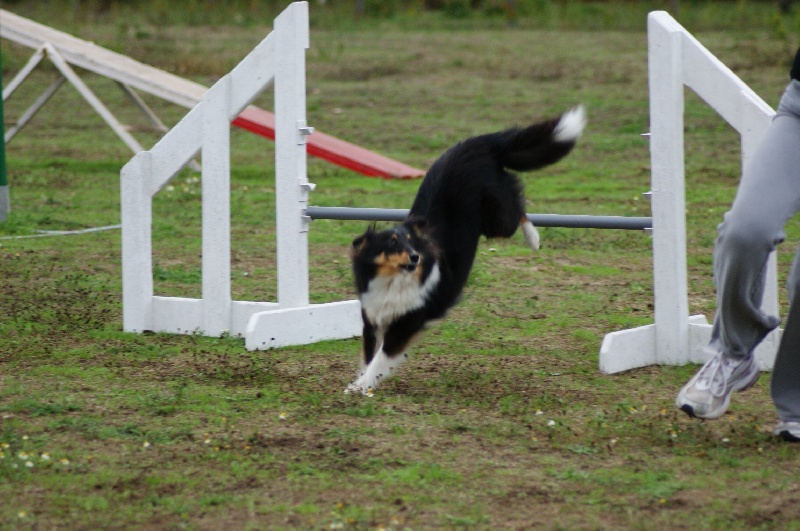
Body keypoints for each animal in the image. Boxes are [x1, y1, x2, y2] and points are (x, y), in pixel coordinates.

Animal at [346, 106, 588, 394]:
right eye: (393, 243)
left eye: (412, 244)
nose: (415, 257)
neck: (394, 281)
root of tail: (478, 142)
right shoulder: (372, 320)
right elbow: (368, 356)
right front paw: (361, 384)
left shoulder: (406, 324)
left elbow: (380, 360)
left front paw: (360, 386)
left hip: (497, 217)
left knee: (518, 209)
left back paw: (534, 238)